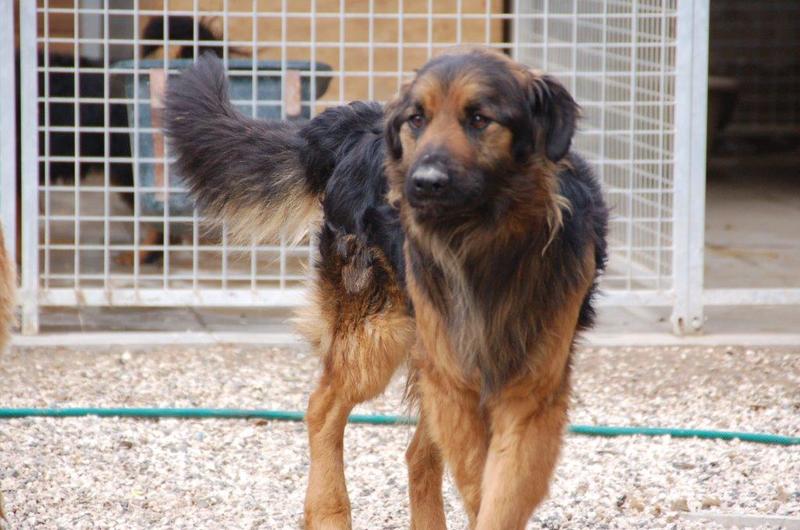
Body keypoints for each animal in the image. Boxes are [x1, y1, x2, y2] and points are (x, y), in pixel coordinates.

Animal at [165, 49, 608, 529]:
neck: (481, 250)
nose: (422, 182)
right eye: (417, 119)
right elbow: (480, 485)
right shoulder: (453, 379)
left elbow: (502, 492)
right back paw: (329, 512)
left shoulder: (531, 391)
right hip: (378, 334)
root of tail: (361, 123)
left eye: (479, 118)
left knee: (418, 455)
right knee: (323, 408)